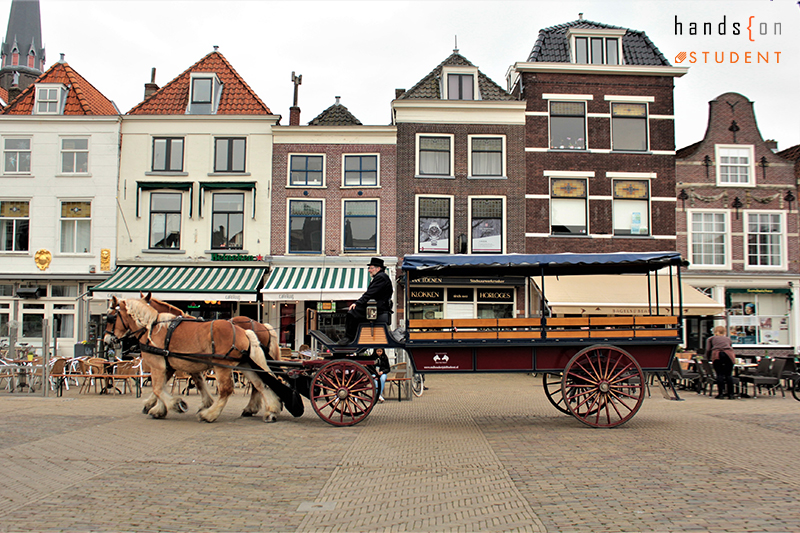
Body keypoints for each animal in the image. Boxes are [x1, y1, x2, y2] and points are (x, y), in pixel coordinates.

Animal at [106, 298, 282, 422]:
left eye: (110, 317)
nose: (107, 340)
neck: (156, 328)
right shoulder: (173, 365)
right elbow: (172, 384)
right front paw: (158, 408)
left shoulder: (160, 365)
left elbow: (158, 387)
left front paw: (176, 404)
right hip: (246, 363)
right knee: (260, 384)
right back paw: (269, 409)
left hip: (224, 366)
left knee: (228, 389)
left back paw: (210, 415)